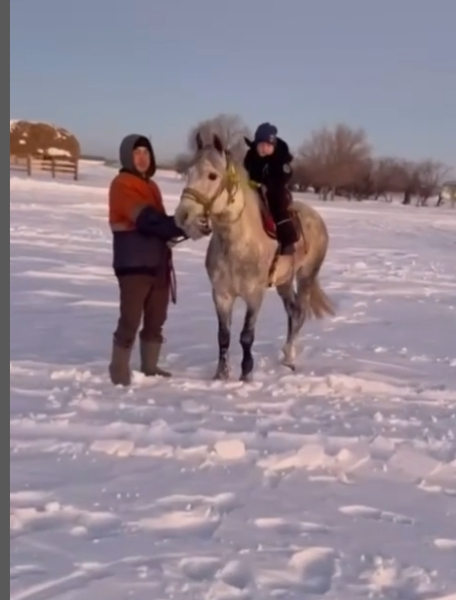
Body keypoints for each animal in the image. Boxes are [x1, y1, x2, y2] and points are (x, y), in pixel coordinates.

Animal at [173, 134, 334, 382]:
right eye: (189, 171)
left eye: (212, 175)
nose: (183, 216)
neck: (237, 243)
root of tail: (316, 217)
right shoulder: (221, 295)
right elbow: (223, 335)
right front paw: (221, 375)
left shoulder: (254, 296)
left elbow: (246, 336)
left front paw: (246, 375)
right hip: (284, 281)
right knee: (292, 312)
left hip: (306, 277)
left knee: (299, 313)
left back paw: (289, 359)